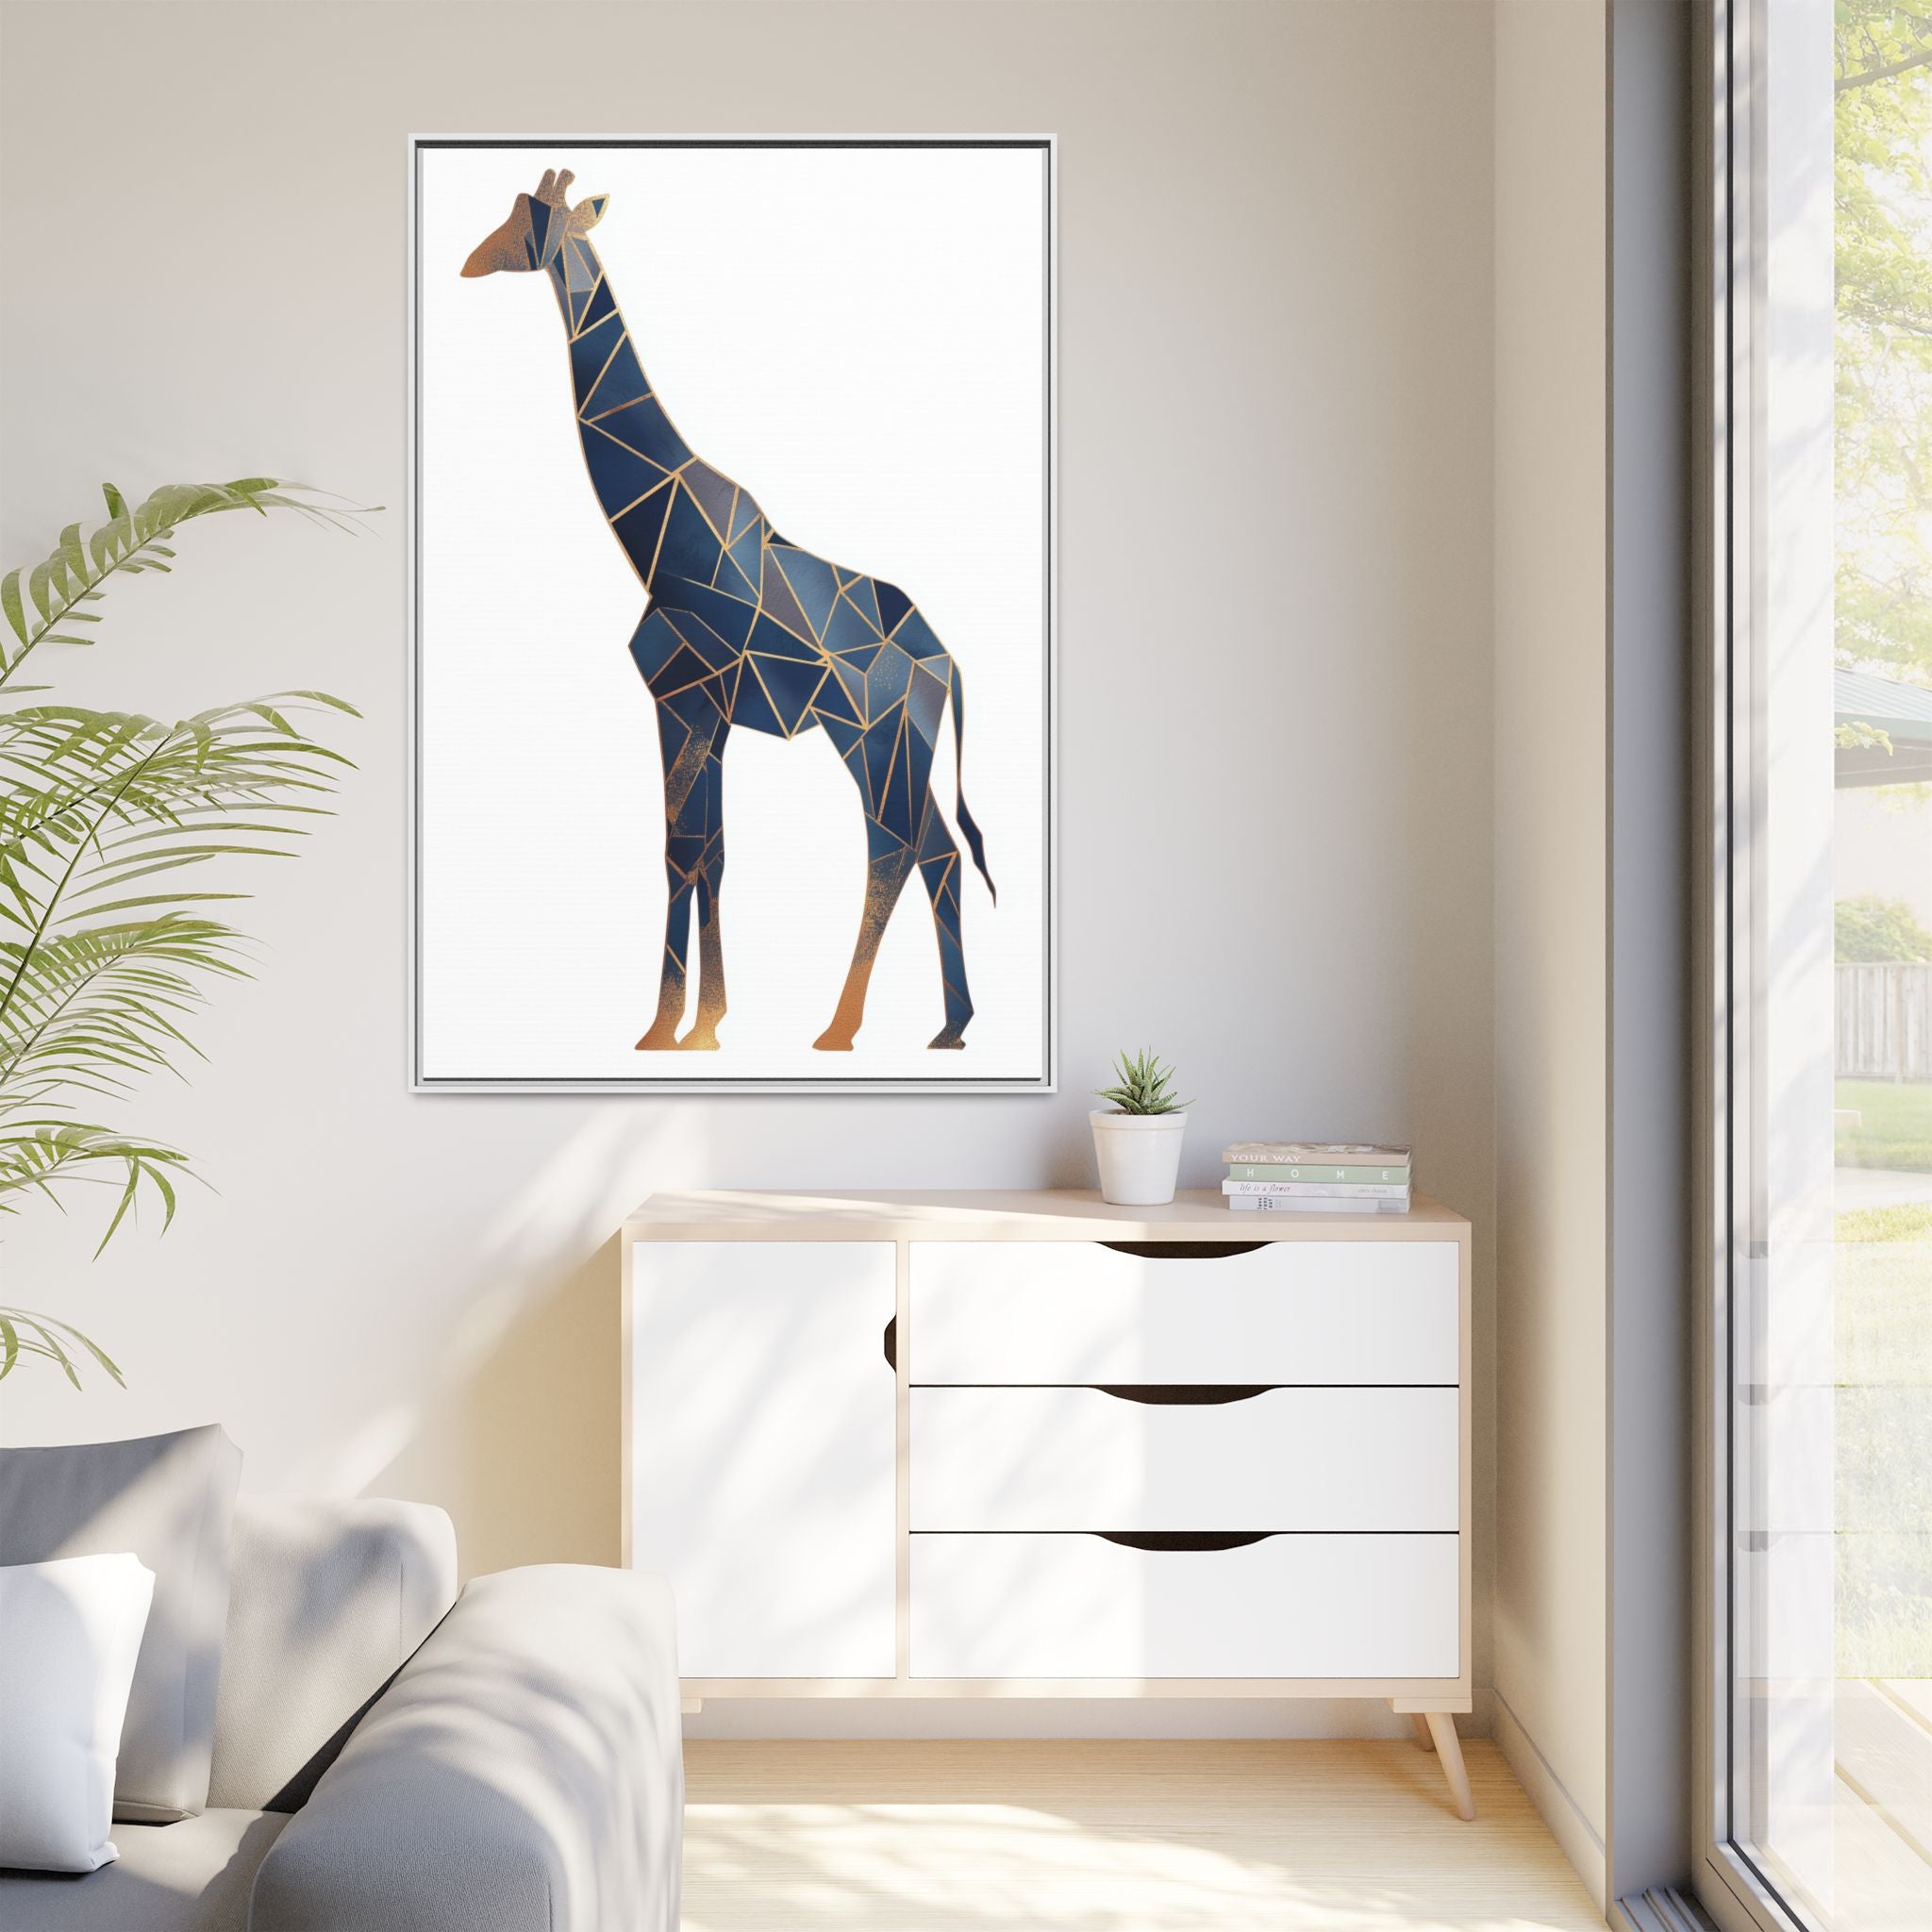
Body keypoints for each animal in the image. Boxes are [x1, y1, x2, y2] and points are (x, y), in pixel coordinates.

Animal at [461, 168, 995, 1053]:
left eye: (530, 221)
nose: (471, 261)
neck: (658, 537)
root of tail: (947, 663)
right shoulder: (702, 712)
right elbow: (705, 852)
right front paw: (692, 1024)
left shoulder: (684, 698)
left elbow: (685, 852)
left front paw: (677, 1028)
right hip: (897, 743)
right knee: (936, 853)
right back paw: (948, 1027)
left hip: (872, 736)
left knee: (895, 849)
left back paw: (843, 1029)